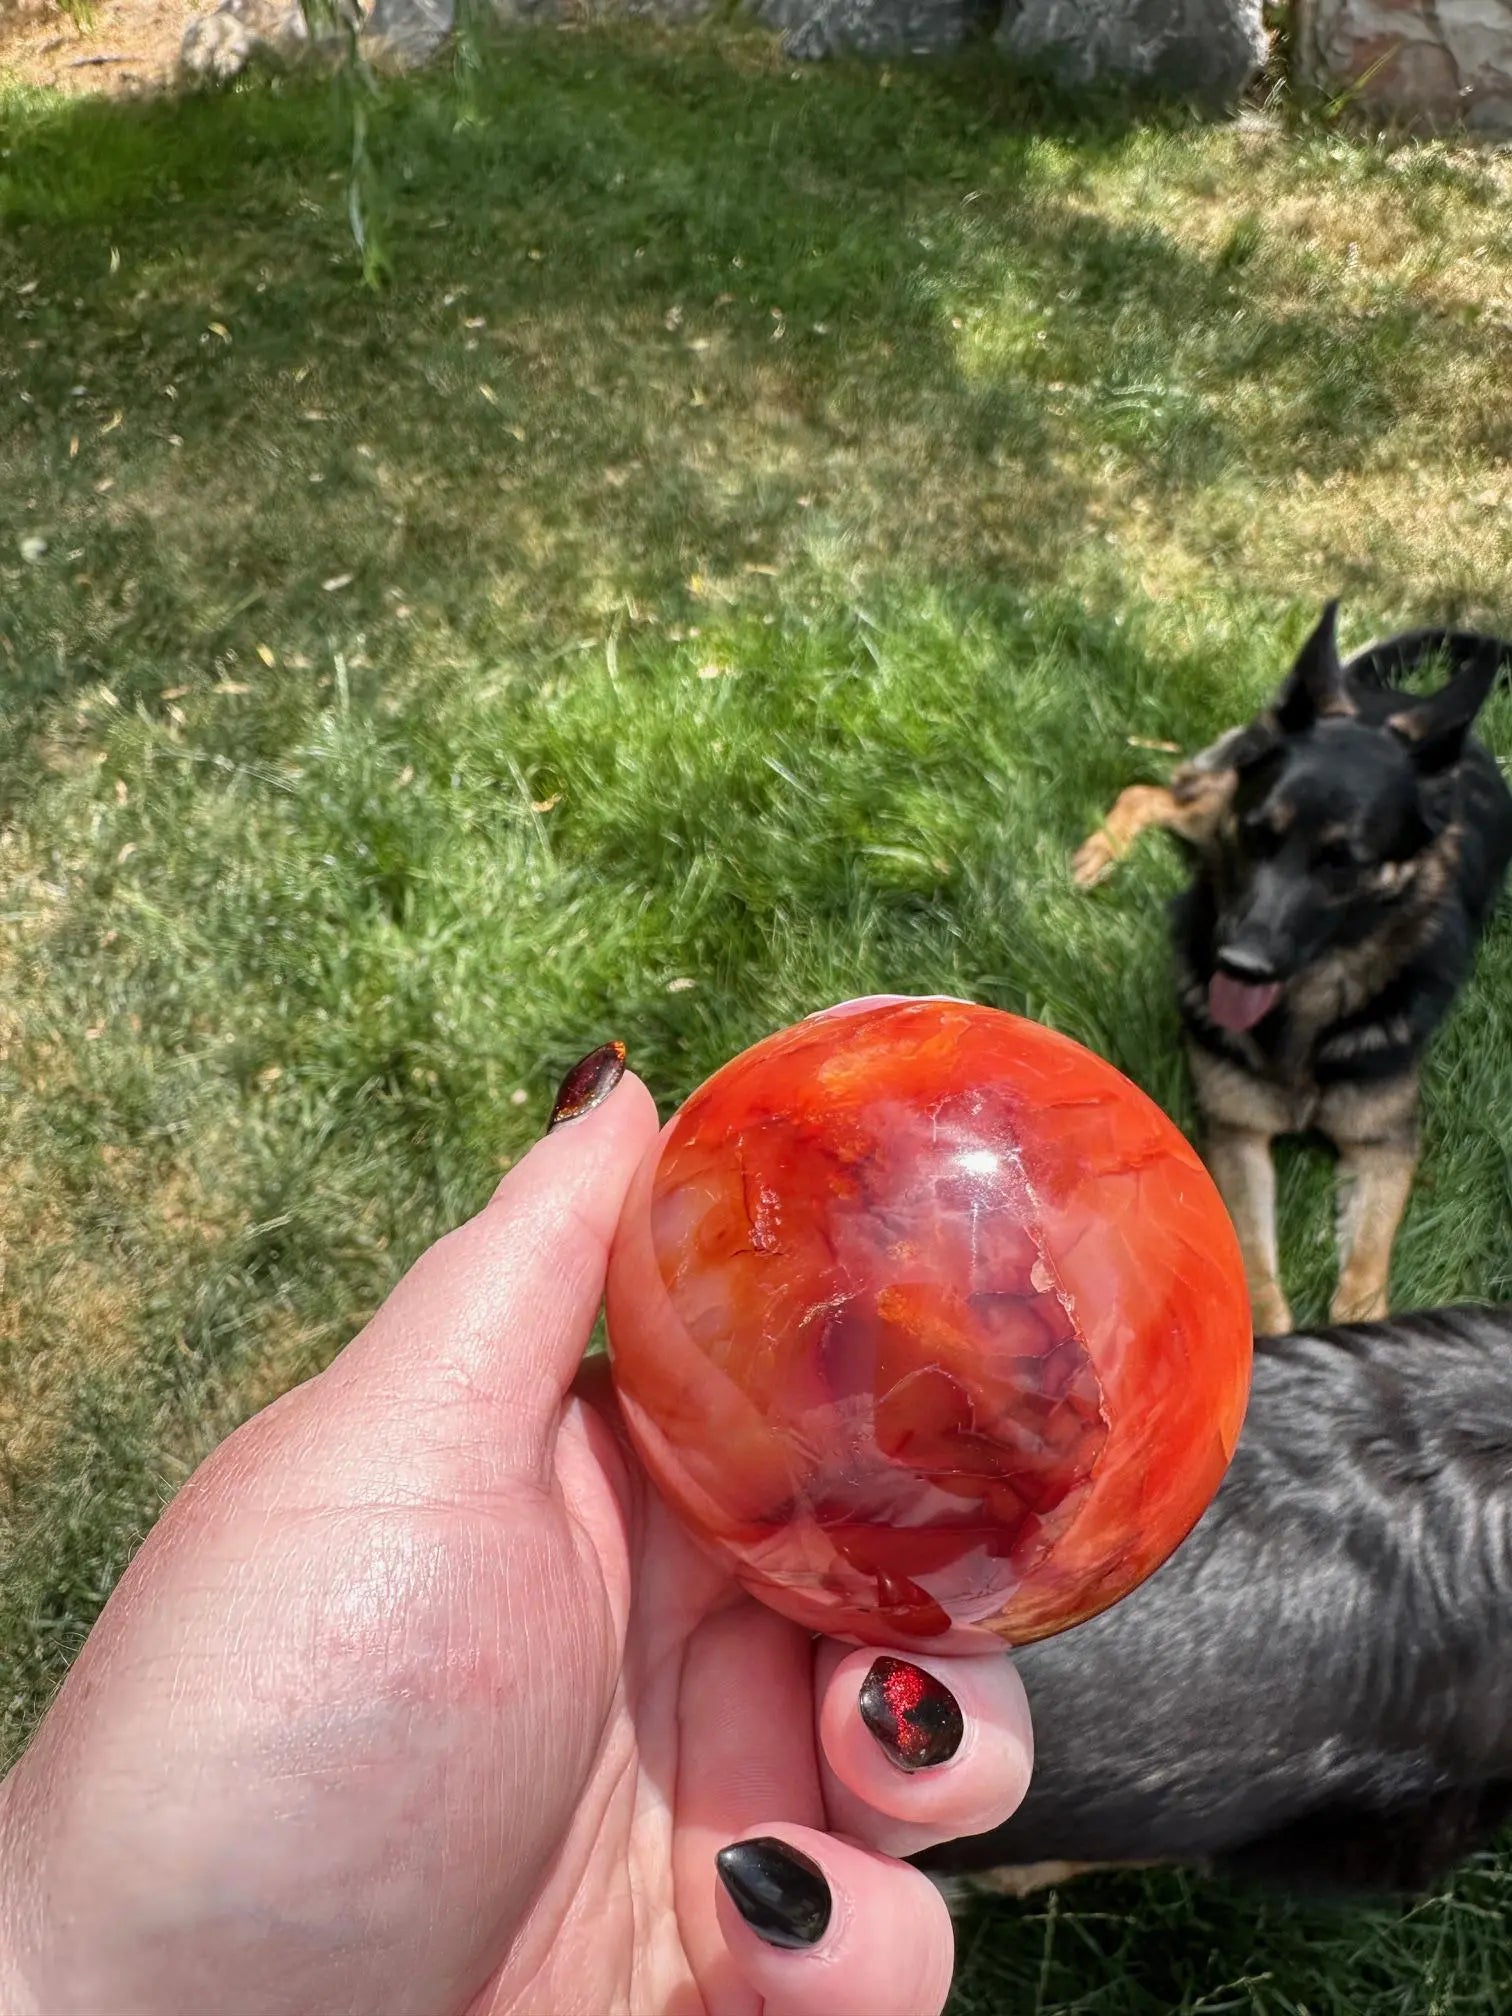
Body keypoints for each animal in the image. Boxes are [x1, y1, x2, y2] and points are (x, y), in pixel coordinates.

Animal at [1080, 604, 1512, 1346]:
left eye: (1343, 862)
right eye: (1259, 834)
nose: (1238, 964)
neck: (1306, 1010)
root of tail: (1375, 696)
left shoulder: (1385, 1143)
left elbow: (1365, 1273)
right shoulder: (1237, 1134)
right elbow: (1253, 1261)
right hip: (1207, 809)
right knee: (1148, 792)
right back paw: (1097, 852)